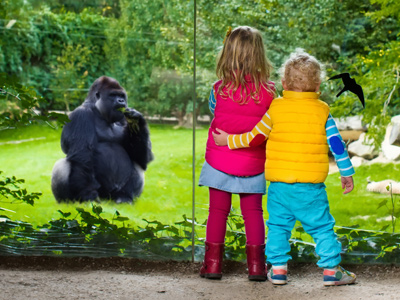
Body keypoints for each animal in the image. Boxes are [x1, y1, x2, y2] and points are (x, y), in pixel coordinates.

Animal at [51, 76, 153, 204]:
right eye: (113, 95)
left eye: (121, 95)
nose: (121, 101)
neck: (97, 109)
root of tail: (108, 198)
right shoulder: (81, 115)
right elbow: (82, 156)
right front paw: (89, 195)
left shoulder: (123, 117)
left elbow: (142, 158)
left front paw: (138, 122)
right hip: (100, 194)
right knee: (62, 165)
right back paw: (67, 202)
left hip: (114, 195)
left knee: (138, 164)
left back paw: (125, 196)